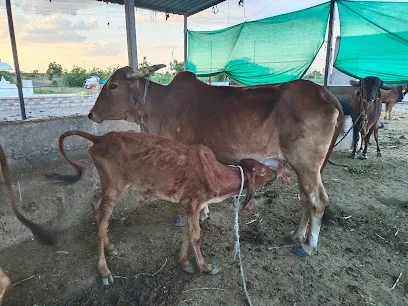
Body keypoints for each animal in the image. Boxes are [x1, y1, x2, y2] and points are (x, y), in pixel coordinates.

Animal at [43, 130, 288, 286]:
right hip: (114, 187)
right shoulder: (194, 203)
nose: (276, 172)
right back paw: (104, 269)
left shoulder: (189, 205)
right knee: (103, 221)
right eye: (262, 171)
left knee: (95, 204)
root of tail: (100, 137)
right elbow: (196, 236)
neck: (217, 175)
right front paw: (205, 266)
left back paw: (110, 247)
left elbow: (187, 233)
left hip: (109, 187)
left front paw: (185, 263)